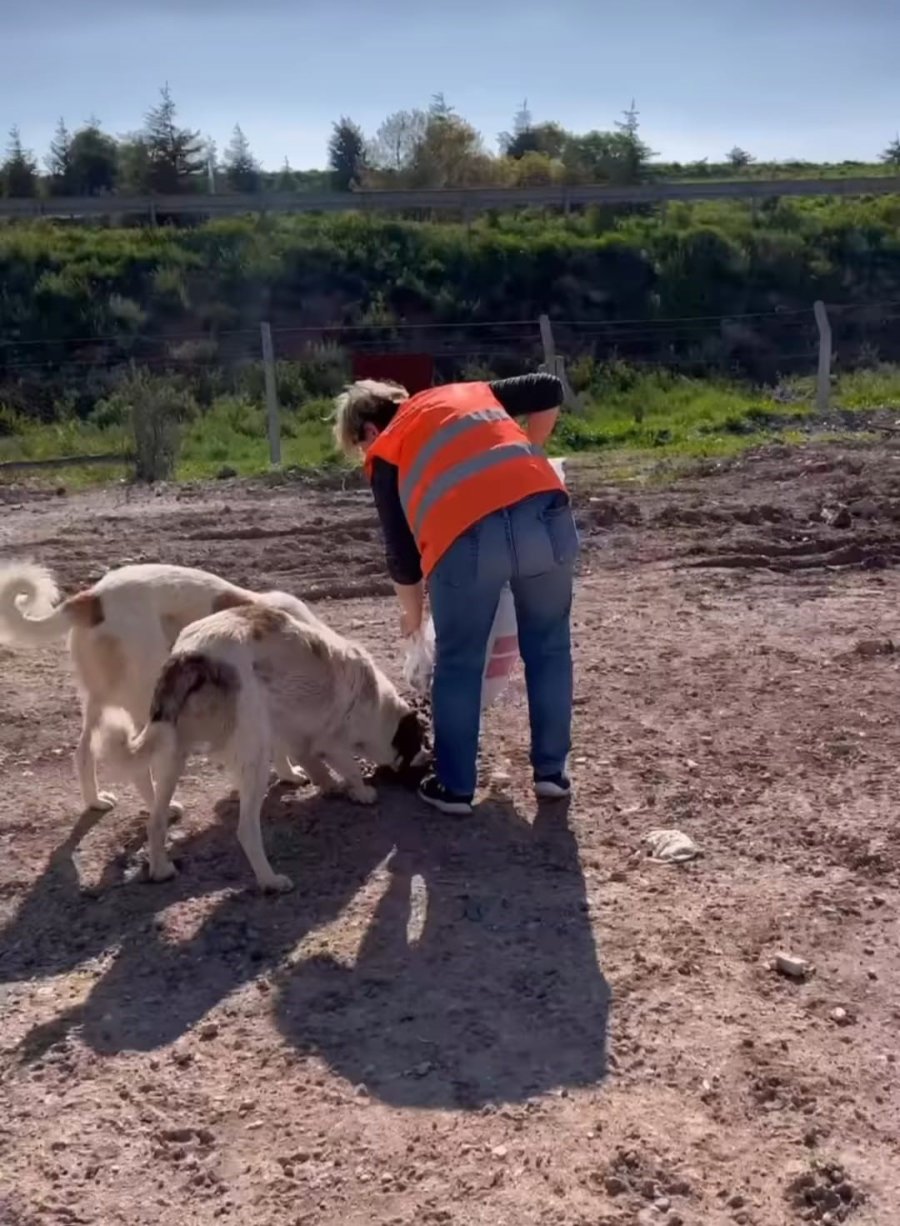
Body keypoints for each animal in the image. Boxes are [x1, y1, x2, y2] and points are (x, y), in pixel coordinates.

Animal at [0, 561, 323, 814]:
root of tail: (93, 597)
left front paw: (287, 773)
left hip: (99, 703)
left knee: (82, 753)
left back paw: (95, 801)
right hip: (148, 697)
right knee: (139, 765)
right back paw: (163, 808)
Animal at [96, 600, 429, 892]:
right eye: (417, 743)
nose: (424, 765)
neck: (375, 703)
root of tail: (190, 655)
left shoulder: (287, 730)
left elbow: (305, 759)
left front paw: (317, 782)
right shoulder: (331, 740)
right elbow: (348, 767)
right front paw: (360, 791)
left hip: (172, 753)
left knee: (156, 821)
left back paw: (160, 869)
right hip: (251, 754)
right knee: (246, 830)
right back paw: (270, 881)